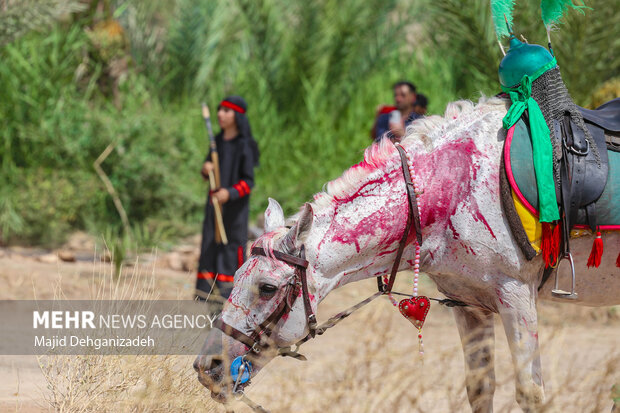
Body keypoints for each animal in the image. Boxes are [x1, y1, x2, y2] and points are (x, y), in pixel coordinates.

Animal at [195, 97, 620, 412]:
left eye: (267, 288)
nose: (207, 366)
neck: (454, 184)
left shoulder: (516, 298)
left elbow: (531, 394)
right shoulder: (471, 305)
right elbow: (479, 388)